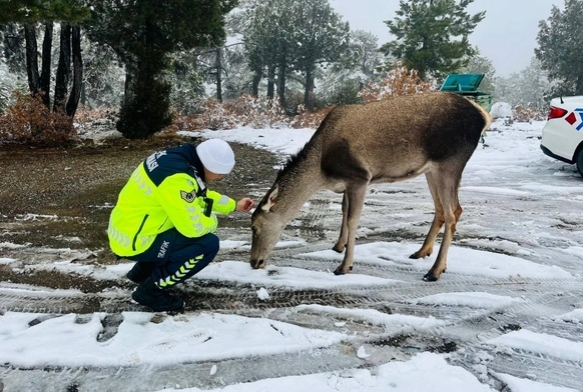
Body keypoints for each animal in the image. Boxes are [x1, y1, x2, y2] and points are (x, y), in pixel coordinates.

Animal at [251, 92, 492, 282]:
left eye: (254, 227)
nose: (254, 262)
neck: (321, 171)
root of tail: (484, 116)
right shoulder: (347, 182)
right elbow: (344, 211)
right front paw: (338, 246)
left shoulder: (360, 176)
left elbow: (353, 219)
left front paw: (344, 266)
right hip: (430, 170)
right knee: (442, 209)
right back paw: (421, 252)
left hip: (450, 162)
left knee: (454, 212)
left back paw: (435, 271)